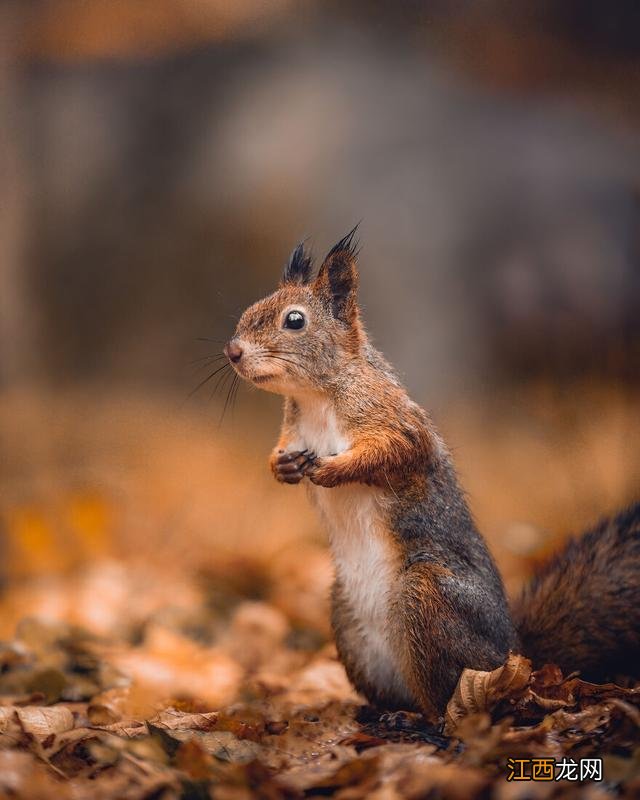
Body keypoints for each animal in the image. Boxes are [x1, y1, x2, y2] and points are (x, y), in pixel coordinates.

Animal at [222, 228, 636, 720]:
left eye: (295, 320)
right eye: (252, 307)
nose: (233, 352)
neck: (317, 397)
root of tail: (514, 655)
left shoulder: (394, 419)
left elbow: (396, 449)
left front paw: (335, 469)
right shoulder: (294, 428)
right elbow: (282, 451)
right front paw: (283, 466)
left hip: (428, 596)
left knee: (444, 702)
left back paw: (428, 718)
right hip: (346, 617)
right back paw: (383, 711)